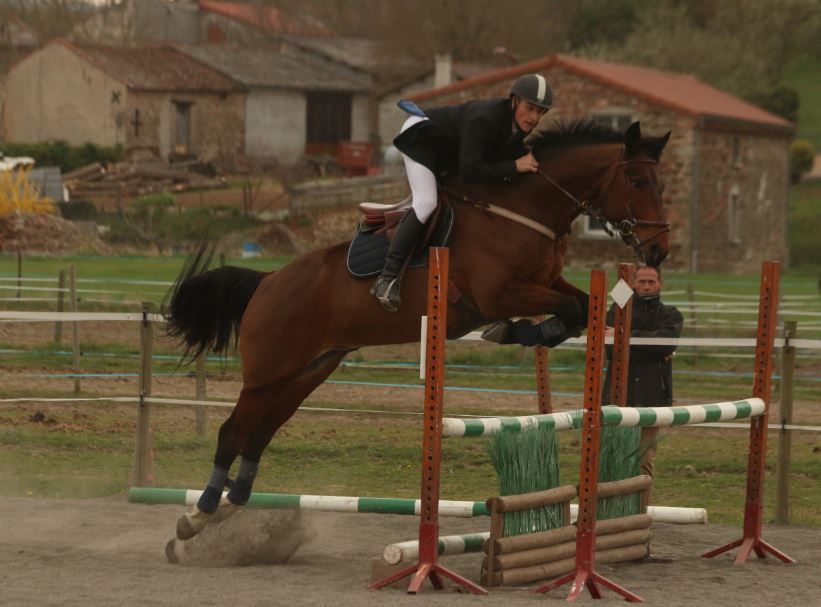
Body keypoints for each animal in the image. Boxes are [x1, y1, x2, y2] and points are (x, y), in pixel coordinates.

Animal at [168, 120, 672, 540]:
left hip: (308, 371)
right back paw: (197, 516)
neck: (517, 211)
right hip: (267, 373)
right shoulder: (500, 294)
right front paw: (519, 333)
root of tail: (268, 281)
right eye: (637, 182)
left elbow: (583, 306)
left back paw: (230, 505)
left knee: (261, 432)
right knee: (232, 431)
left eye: (660, 183)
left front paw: (526, 334)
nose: (659, 251)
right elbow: (569, 306)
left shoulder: (544, 283)